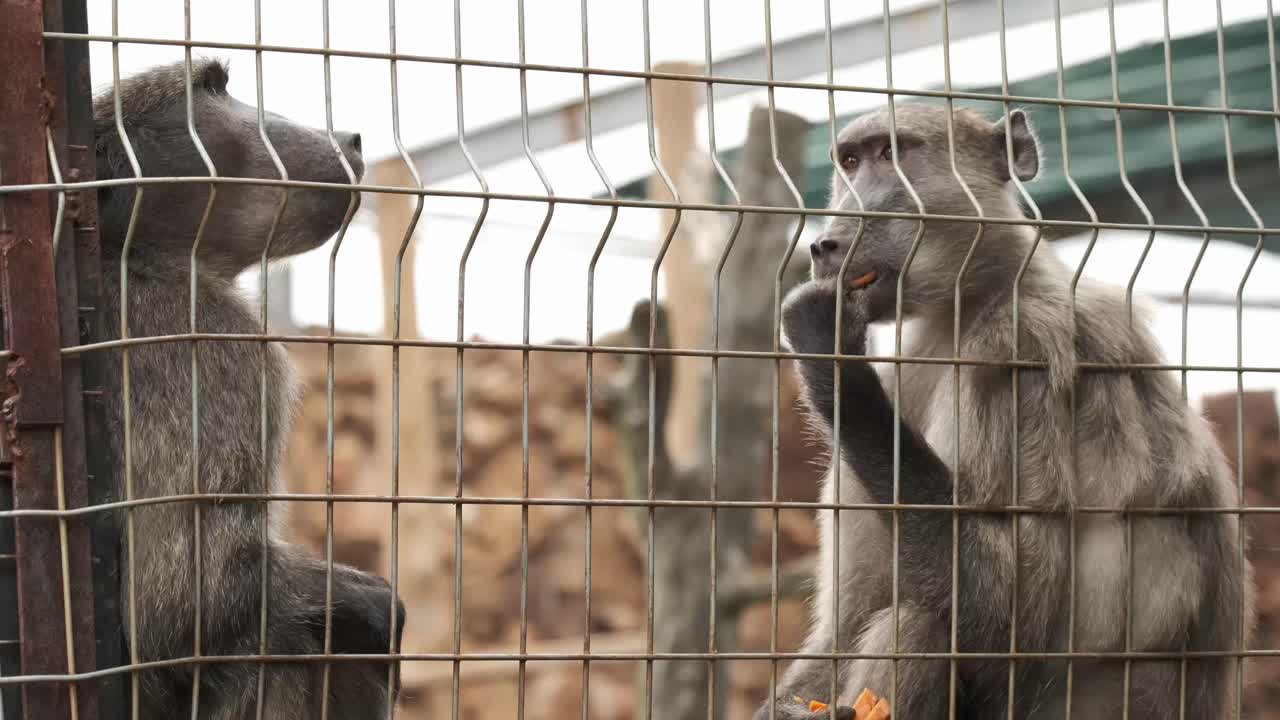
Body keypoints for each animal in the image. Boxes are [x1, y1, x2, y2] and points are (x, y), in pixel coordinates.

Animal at [93, 58, 404, 719]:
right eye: (213, 87)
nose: (351, 139)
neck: (134, 254)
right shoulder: (225, 354)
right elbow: (177, 608)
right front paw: (374, 604)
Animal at [755, 103, 1250, 719]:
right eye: (849, 162)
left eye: (891, 154)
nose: (825, 243)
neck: (971, 300)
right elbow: (844, 629)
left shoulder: (1019, 346)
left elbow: (1012, 615)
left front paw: (829, 352)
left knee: (918, 625)